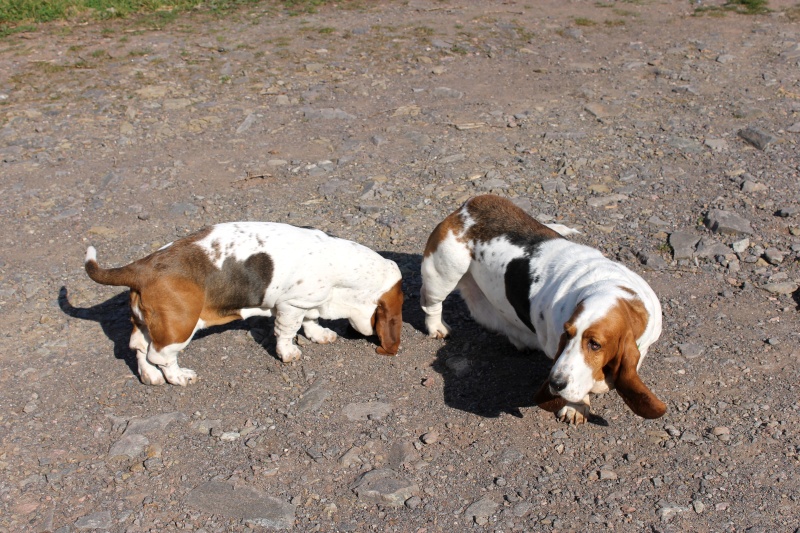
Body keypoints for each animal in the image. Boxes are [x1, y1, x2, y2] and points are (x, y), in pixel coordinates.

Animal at [84, 222, 404, 384]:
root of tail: (142, 267)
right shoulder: (290, 307)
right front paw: (289, 353)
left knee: (139, 347)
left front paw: (319, 335)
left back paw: (150, 376)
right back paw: (178, 376)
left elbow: (311, 321)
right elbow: (287, 332)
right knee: (160, 356)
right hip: (179, 327)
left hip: (148, 323)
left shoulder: (308, 302)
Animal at [418, 193, 664, 422]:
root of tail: (471, 205)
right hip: (444, 274)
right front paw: (575, 407)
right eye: (567, 334)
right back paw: (437, 327)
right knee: (431, 303)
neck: (610, 285)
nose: (555, 383)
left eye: (595, 344)